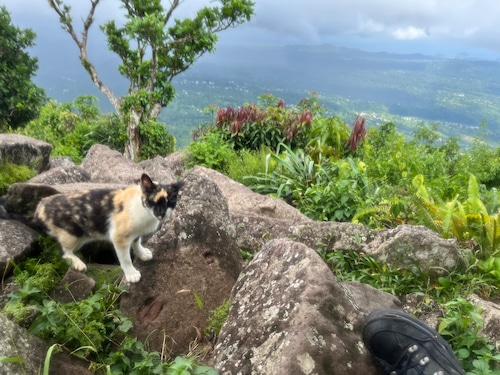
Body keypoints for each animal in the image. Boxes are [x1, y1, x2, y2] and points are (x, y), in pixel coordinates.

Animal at [33, 175, 183, 284]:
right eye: (153, 202)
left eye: (170, 203)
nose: (162, 214)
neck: (144, 210)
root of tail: (41, 204)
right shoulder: (119, 237)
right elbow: (125, 259)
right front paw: (131, 274)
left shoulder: (136, 234)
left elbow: (136, 242)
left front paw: (142, 253)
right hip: (73, 234)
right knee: (65, 252)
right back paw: (77, 263)